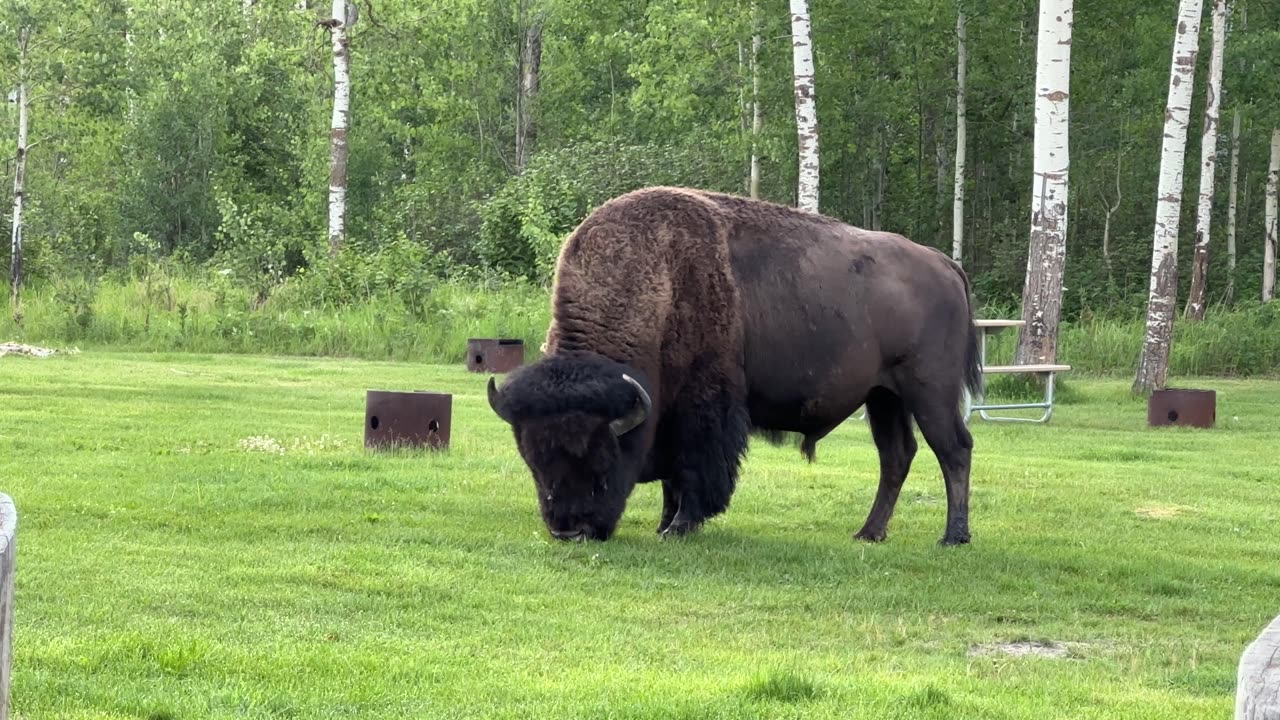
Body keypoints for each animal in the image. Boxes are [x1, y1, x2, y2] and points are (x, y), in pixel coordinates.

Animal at [486, 184, 977, 543]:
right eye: (533, 462)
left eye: (603, 460)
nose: (570, 531)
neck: (659, 283)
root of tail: (945, 264)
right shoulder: (666, 415)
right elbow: (671, 475)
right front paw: (666, 523)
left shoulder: (702, 407)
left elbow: (692, 468)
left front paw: (679, 527)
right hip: (883, 397)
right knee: (897, 456)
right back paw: (869, 533)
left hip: (928, 389)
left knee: (953, 449)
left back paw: (952, 537)